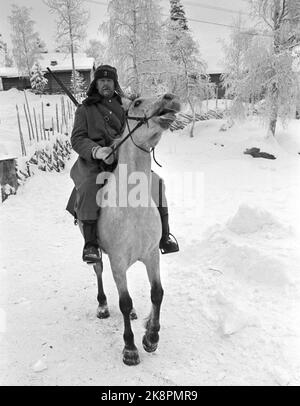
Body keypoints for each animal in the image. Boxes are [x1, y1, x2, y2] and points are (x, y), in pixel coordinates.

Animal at [78, 93, 180, 366]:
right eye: (136, 103)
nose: (171, 98)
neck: (132, 204)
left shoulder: (152, 255)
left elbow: (157, 293)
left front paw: (151, 337)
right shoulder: (117, 261)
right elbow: (123, 301)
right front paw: (130, 348)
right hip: (100, 256)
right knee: (99, 272)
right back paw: (103, 305)